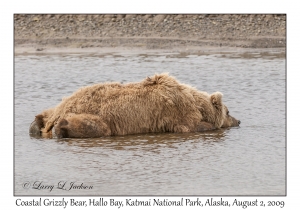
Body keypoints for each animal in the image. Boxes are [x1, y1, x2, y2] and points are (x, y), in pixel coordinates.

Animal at [29, 73, 240, 139]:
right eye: (229, 111)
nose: (238, 120)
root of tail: (61, 111)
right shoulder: (178, 112)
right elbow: (191, 126)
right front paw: (210, 125)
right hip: (98, 117)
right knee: (97, 127)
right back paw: (61, 127)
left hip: (57, 106)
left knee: (42, 115)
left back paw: (36, 124)